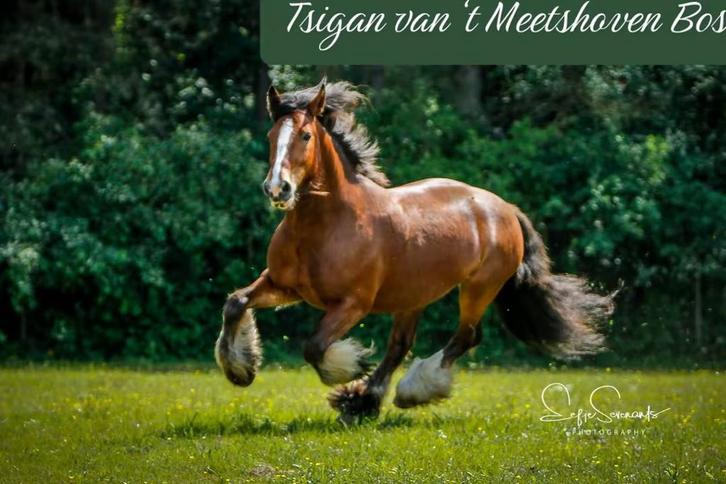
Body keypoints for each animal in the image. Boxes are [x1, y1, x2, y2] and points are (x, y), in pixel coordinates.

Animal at [215, 79, 614, 422]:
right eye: (271, 136)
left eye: (306, 135)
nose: (277, 188)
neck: (325, 226)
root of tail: (504, 208)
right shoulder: (283, 285)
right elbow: (235, 302)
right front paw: (241, 370)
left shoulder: (352, 304)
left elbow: (313, 346)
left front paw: (350, 366)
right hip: (414, 296)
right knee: (400, 345)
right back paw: (363, 402)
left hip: (478, 288)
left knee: (466, 336)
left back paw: (409, 391)